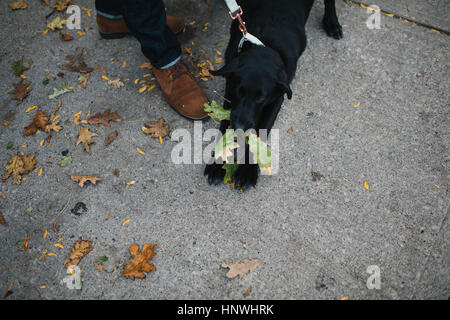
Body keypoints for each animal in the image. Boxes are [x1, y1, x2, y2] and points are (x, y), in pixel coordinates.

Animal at [206, 0, 342, 190]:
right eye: (239, 91)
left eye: (260, 98)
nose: (240, 127)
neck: (265, 42)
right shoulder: (229, 93)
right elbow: (224, 126)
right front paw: (218, 163)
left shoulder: (278, 98)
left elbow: (261, 132)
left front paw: (247, 171)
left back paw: (332, 23)